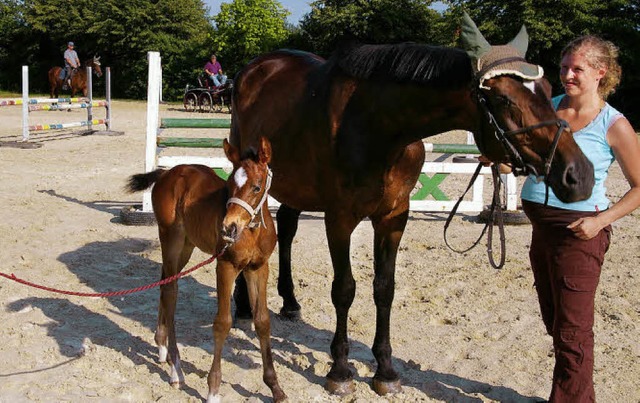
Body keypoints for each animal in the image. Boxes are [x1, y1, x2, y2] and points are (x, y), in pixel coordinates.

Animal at [125, 137, 284, 402]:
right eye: (229, 185)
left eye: (257, 187)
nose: (228, 227)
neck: (251, 231)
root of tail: (167, 172)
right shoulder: (226, 266)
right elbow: (222, 322)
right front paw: (213, 389)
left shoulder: (259, 268)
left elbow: (262, 321)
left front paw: (275, 387)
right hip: (171, 238)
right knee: (171, 290)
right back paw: (176, 369)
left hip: (187, 245)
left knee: (163, 281)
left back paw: (161, 346)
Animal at [229, 15, 596, 398]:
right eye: (504, 99)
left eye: (548, 88)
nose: (579, 175)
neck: (377, 126)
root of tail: (256, 68)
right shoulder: (340, 218)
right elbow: (344, 290)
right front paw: (341, 370)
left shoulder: (393, 217)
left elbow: (384, 288)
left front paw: (385, 370)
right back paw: (243, 305)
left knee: (286, 228)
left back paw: (289, 301)